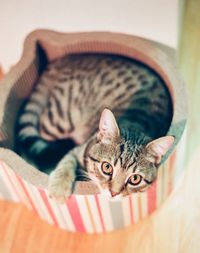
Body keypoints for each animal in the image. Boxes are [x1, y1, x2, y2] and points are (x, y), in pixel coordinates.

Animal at [15, 52, 173, 202]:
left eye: (135, 179)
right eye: (107, 167)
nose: (114, 193)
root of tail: (66, 60)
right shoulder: (79, 149)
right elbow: (66, 162)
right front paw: (59, 187)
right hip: (59, 118)